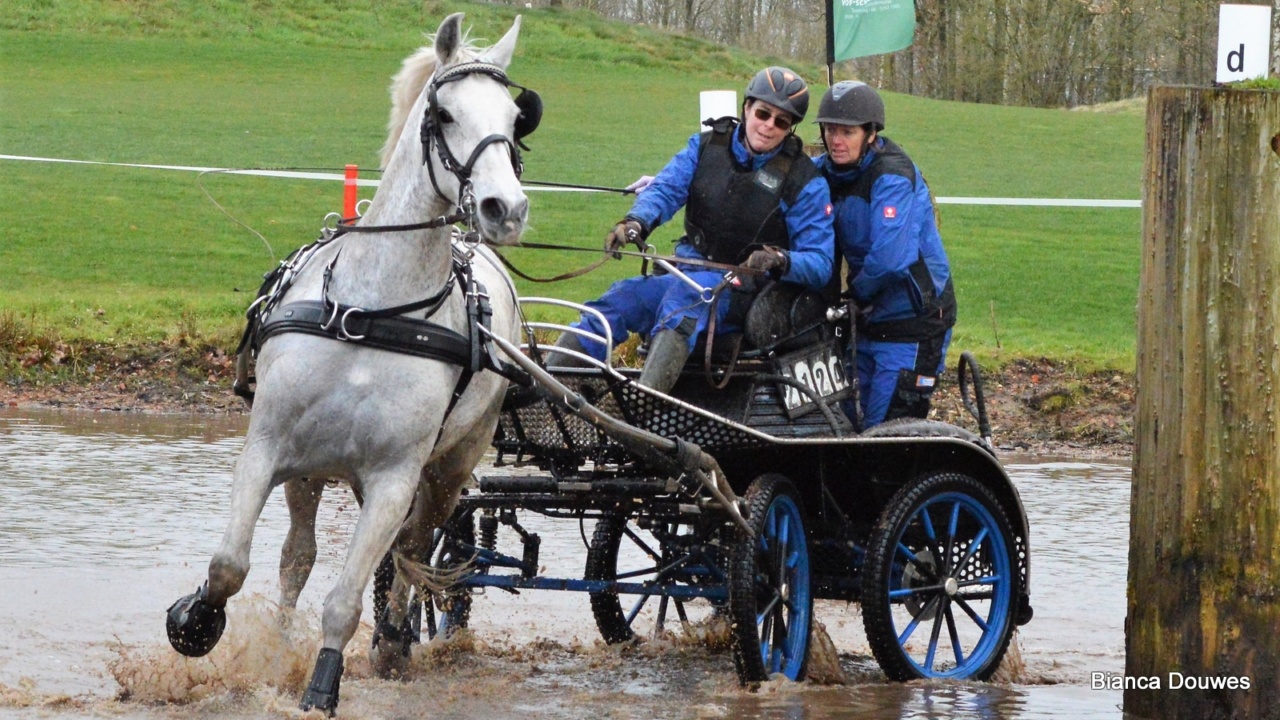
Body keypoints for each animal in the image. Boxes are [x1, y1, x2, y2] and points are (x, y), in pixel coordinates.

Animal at [166, 12, 535, 712]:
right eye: (445, 113)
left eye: (515, 116)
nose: (506, 208)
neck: (372, 312)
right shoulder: (268, 448)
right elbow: (230, 565)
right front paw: (196, 621)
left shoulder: (394, 480)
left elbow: (346, 600)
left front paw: (323, 684)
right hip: (313, 473)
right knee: (298, 559)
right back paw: (280, 639)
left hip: (448, 469)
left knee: (410, 550)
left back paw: (393, 641)